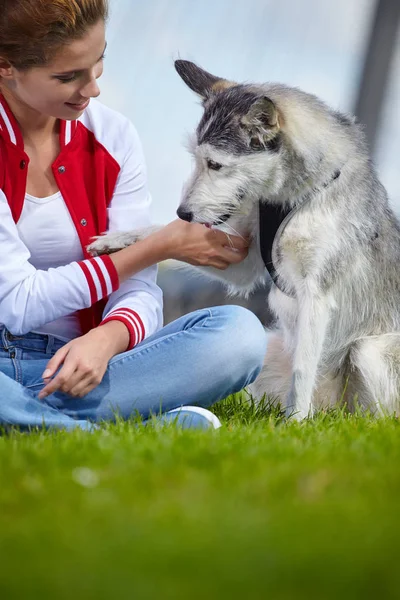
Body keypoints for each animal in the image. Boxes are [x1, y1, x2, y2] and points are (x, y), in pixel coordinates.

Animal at [88, 59, 400, 418]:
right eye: (195, 158)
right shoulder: (244, 263)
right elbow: (159, 231)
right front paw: (117, 239)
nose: (183, 213)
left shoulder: (316, 295)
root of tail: (333, 409)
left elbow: (302, 372)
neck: (291, 196)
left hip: (368, 352)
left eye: (215, 164)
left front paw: (295, 423)